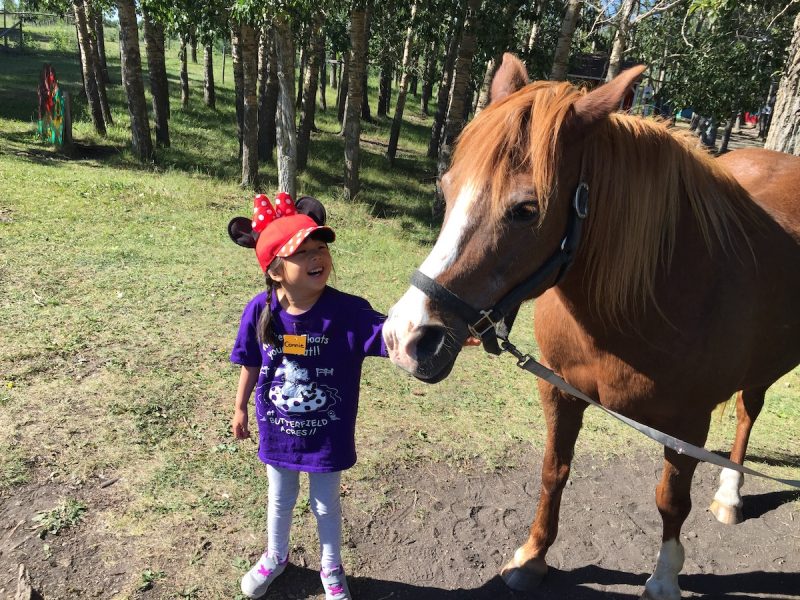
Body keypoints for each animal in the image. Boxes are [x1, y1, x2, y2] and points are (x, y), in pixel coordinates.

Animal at [382, 52, 800, 600]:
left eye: (527, 209)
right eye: (445, 188)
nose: (406, 337)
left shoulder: (689, 422)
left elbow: (671, 500)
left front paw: (664, 579)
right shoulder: (560, 390)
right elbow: (553, 472)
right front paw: (532, 556)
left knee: (749, 411)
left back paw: (731, 493)